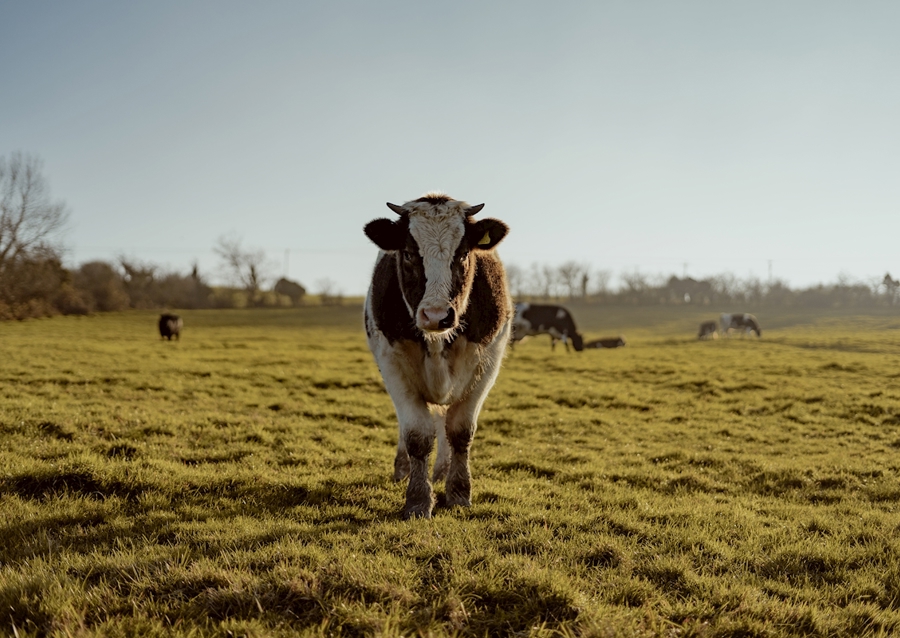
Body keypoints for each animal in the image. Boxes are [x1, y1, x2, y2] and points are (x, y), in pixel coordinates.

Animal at [363, 193, 512, 519]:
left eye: (464, 253)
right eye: (408, 254)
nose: (436, 315)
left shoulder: (488, 364)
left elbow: (460, 431)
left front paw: (458, 492)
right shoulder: (391, 363)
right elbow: (417, 435)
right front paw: (418, 499)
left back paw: (442, 471)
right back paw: (403, 468)